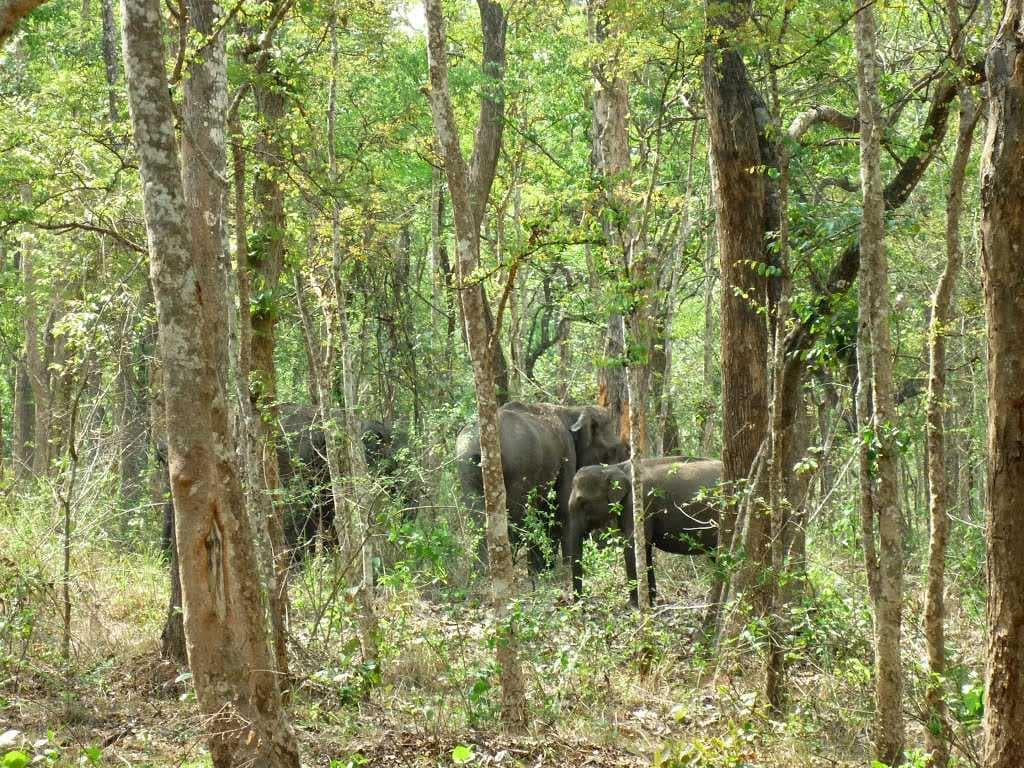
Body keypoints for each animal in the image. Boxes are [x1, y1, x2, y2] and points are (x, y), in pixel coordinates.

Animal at [455, 401, 628, 574]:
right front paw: (562, 570)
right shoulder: (567, 454)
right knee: (517, 517)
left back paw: (484, 571)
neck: (570, 411)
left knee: (478, 519)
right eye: (613, 449)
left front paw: (545, 570)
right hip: (519, 469)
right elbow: (562, 509)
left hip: (466, 472)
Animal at [566, 457, 723, 606]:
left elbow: (632, 549)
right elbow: (644, 549)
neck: (613, 467)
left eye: (582, 502)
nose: (581, 605)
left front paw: (633, 605)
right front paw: (650, 603)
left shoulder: (638, 505)